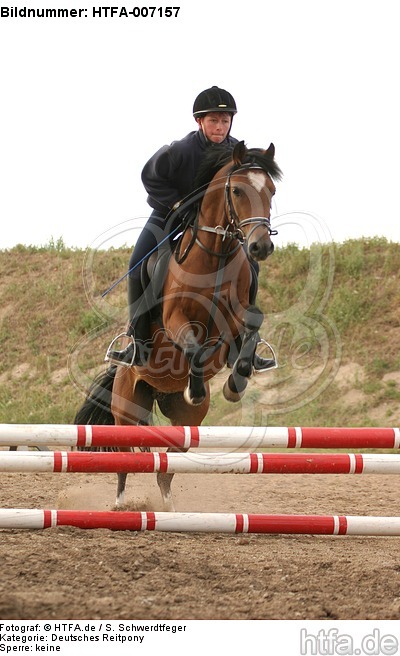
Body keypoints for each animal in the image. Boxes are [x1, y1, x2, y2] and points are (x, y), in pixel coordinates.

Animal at [74, 140, 282, 511]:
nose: (261, 246)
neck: (215, 257)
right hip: (126, 411)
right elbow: (193, 347)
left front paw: (237, 381)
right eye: (237, 190)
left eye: (271, 191)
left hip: (186, 423)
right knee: (125, 459)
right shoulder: (175, 321)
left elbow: (251, 328)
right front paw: (196, 388)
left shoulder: (236, 320)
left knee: (165, 464)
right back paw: (122, 504)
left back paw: (169, 508)